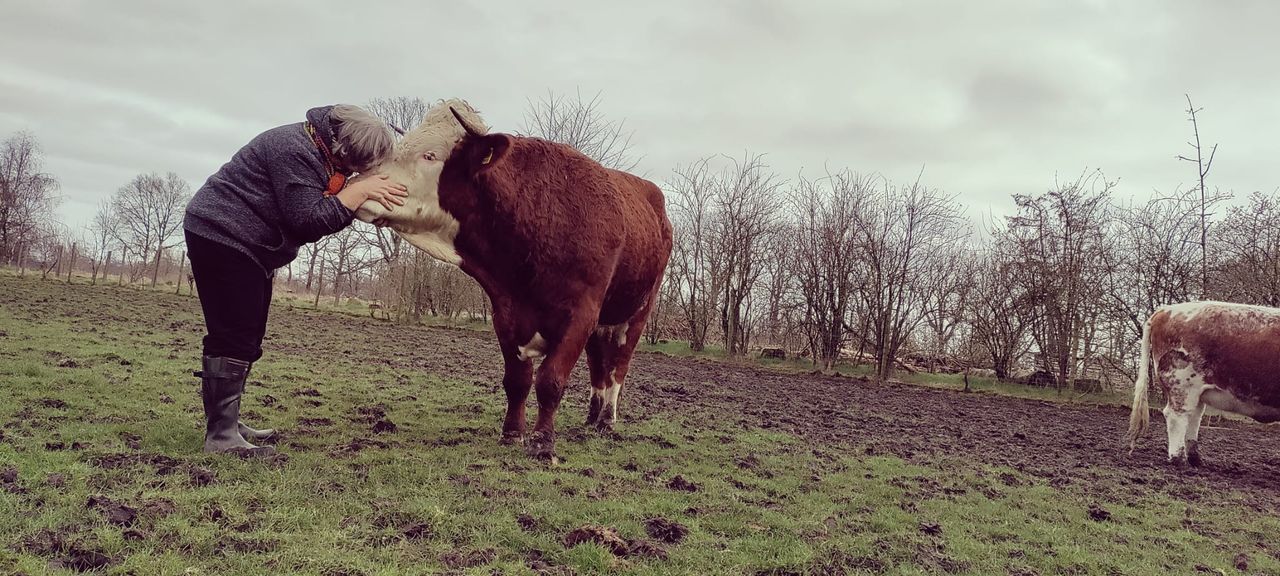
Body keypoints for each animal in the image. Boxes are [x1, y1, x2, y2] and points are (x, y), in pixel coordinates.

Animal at [352, 99, 673, 463]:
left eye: (430, 155)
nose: (360, 183)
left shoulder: (580, 314)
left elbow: (550, 380)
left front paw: (544, 444)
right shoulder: (505, 312)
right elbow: (517, 380)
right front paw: (512, 434)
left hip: (637, 312)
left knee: (618, 366)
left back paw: (607, 421)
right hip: (601, 324)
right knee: (597, 367)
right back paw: (592, 417)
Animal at [1127, 301, 1280, 466]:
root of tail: (1165, 310)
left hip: (1196, 391)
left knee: (1194, 417)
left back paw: (1195, 459)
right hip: (1182, 385)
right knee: (1176, 416)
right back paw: (1179, 460)